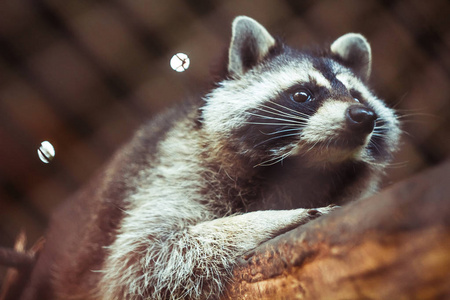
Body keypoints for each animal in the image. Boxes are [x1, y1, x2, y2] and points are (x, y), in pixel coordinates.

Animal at [22, 15, 400, 300]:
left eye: (356, 95)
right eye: (302, 95)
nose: (361, 116)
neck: (306, 167)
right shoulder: (178, 168)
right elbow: (144, 260)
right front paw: (270, 219)